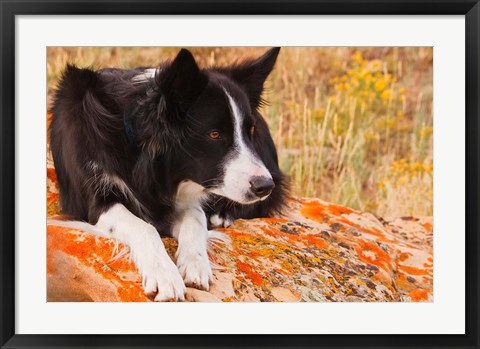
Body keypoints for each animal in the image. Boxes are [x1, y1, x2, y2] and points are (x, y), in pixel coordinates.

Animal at [49, 47, 284, 300]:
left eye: (249, 130)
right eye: (214, 134)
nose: (265, 186)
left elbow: (196, 218)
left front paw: (196, 264)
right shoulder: (96, 199)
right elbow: (144, 226)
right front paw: (164, 276)